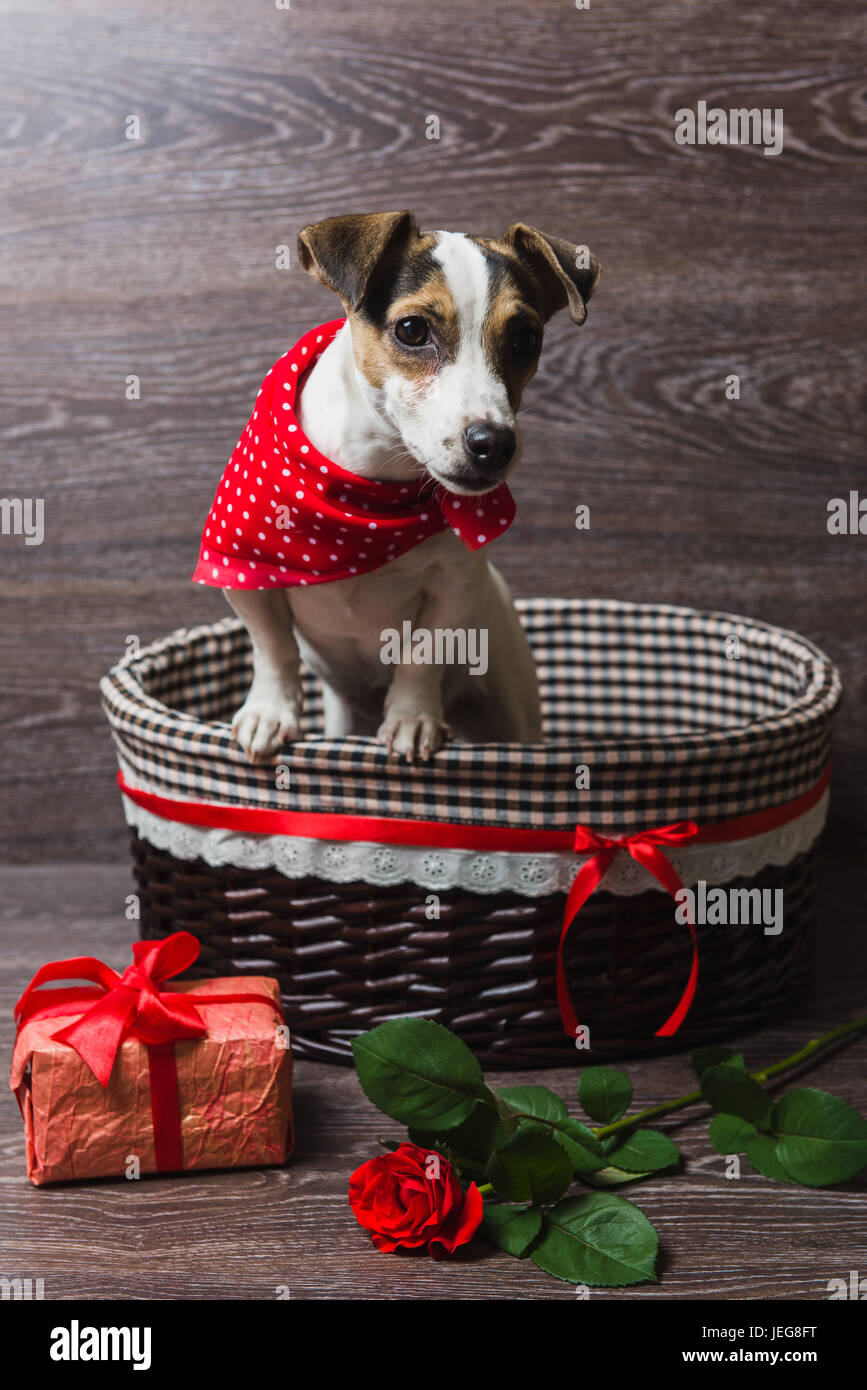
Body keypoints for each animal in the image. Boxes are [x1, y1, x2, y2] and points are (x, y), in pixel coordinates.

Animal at [198, 211, 600, 767]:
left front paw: (412, 718)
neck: (372, 492)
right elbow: (274, 647)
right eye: (412, 330)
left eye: (526, 340)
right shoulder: (243, 571)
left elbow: (422, 655)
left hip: (512, 708)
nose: (495, 443)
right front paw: (270, 712)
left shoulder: (454, 585)